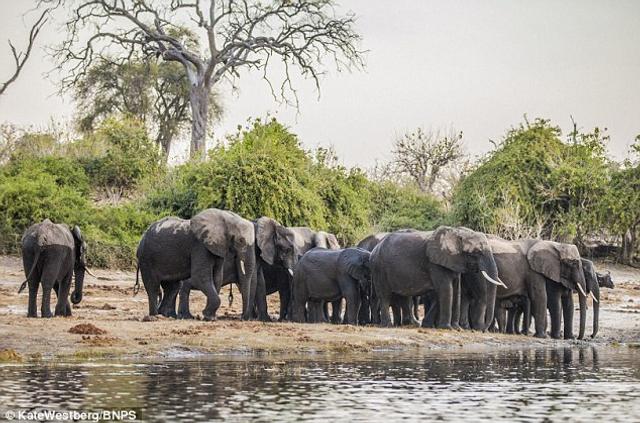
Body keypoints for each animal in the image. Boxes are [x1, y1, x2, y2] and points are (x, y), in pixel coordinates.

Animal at [370, 227, 504, 330]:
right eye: (477, 252)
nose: (484, 328)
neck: (457, 233)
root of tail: (375, 248)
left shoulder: (454, 261)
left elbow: (455, 290)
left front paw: (456, 328)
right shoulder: (435, 264)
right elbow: (446, 289)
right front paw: (447, 328)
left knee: (403, 297)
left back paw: (411, 324)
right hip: (379, 268)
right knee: (385, 296)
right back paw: (387, 325)